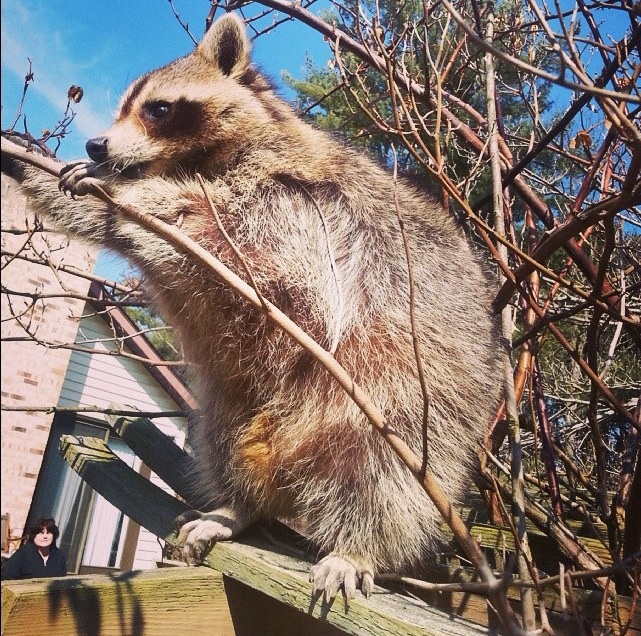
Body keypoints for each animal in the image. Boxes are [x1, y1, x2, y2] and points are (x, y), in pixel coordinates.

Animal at [2, 12, 502, 600]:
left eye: (157, 109)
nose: (97, 145)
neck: (201, 157)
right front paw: (34, 165)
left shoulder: (301, 210)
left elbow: (222, 234)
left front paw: (134, 195)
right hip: (238, 403)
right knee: (225, 432)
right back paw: (238, 506)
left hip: (417, 404)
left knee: (384, 474)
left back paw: (360, 542)